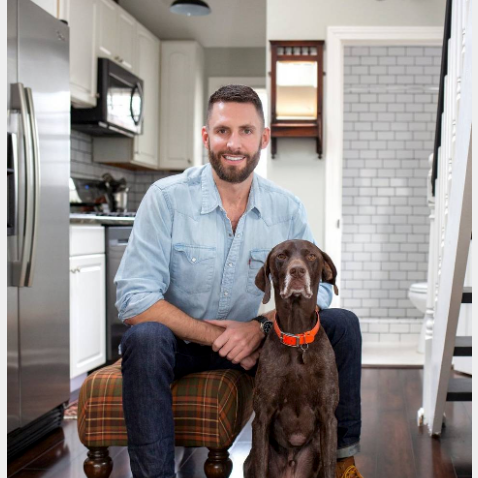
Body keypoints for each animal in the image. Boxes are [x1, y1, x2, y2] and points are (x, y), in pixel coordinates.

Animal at [244, 239, 340, 478]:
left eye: (312, 256)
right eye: (281, 256)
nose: (297, 271)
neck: (296, 337)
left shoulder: (328, 416)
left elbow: (330, 467)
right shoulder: (262, 417)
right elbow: (260, 466)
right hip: (249, 461)